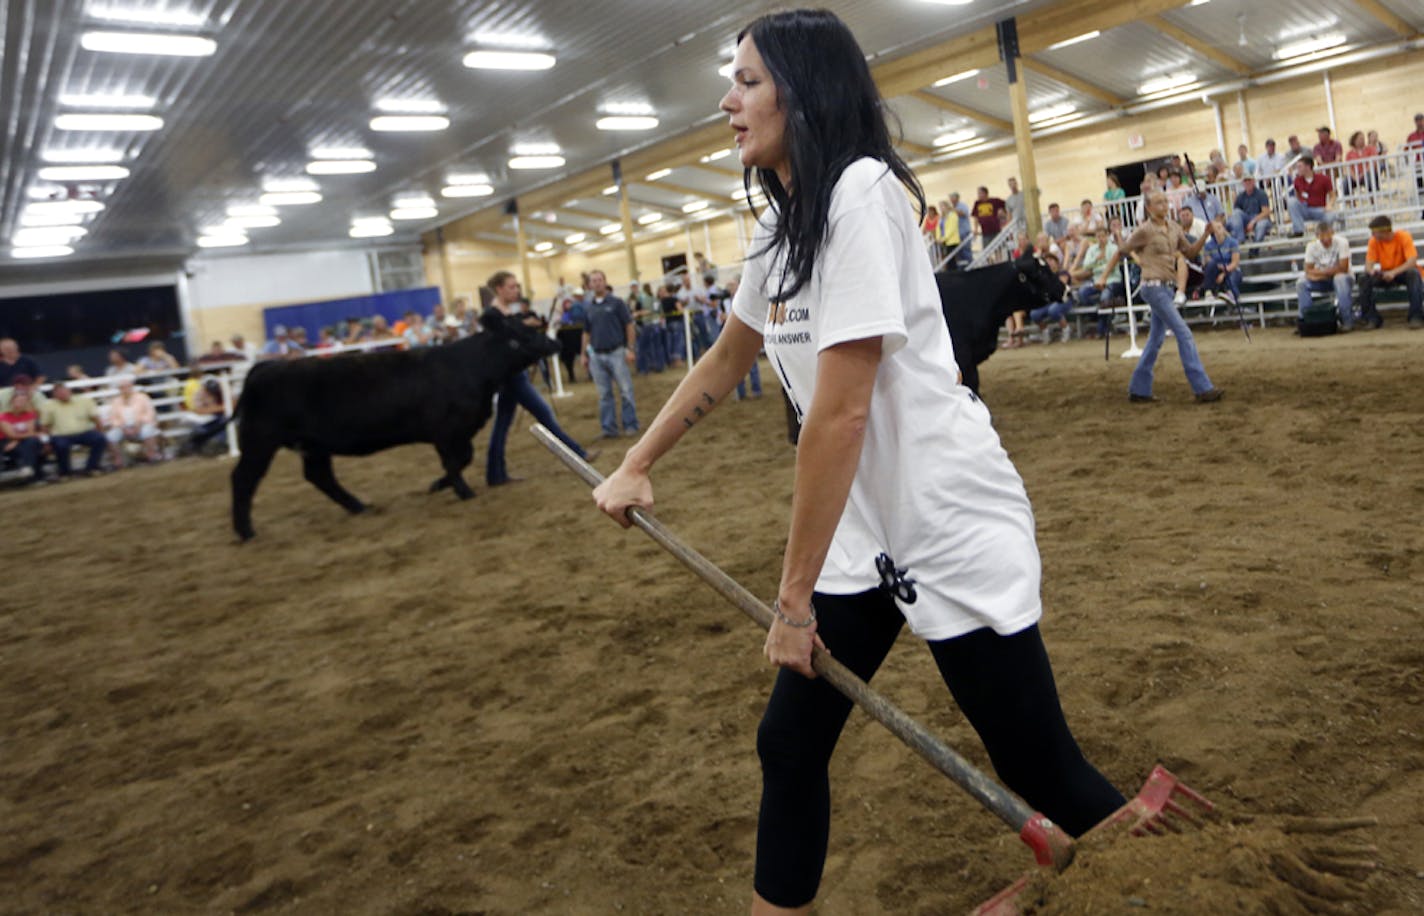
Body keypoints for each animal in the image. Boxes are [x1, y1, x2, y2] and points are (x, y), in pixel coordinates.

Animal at [227, 307, 555, 541]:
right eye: (522, 333)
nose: (554, 342)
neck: (472, 367)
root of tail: (265, 366)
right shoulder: (446, 431)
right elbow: (456, 461)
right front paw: (459, 491)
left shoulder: (458, 430)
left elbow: (463, 458)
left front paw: (440, 485)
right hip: (260, 441)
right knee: (243, 479)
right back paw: (246, 532)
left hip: (313, 445)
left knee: (320, 476)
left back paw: (359, 507)